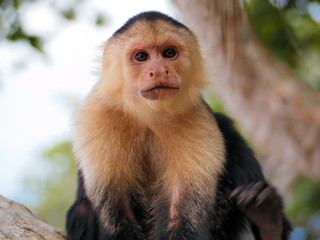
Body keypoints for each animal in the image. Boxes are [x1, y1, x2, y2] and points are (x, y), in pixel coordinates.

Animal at [66, 11, 292, 240]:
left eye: (169, 53)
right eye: (141, 57)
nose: (159, 71)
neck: (147, 115)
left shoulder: (196, 117)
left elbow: (182, 214)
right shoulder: (97, 114)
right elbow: (117, 215)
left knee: (228, 131)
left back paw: (268, 221)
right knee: (82, 210)